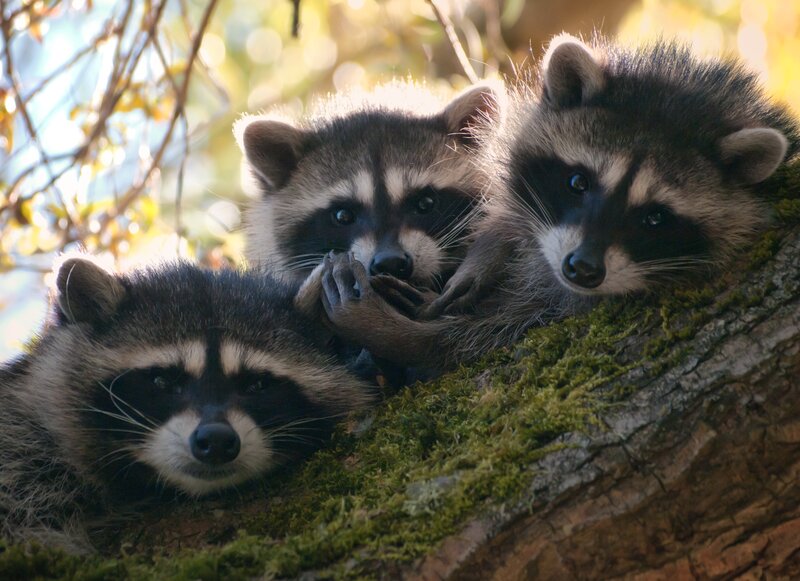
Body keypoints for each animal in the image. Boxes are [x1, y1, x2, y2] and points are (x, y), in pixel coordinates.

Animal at [310, 35, 798, 371]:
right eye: (578, 181)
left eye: (655, 217)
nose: (581, 268)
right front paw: (490, 248)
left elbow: (487, 337)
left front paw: (406, 337)